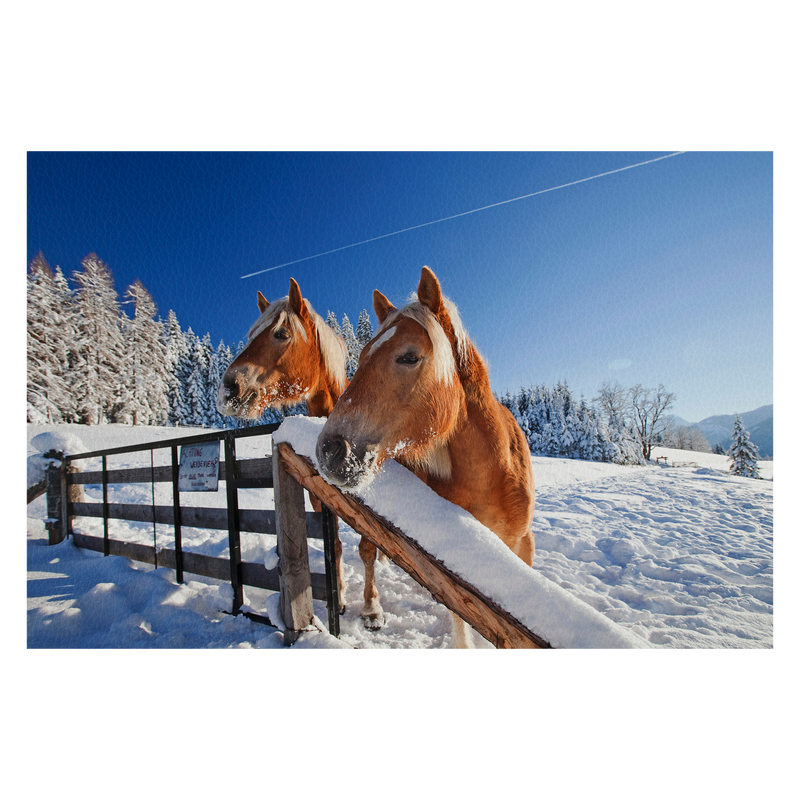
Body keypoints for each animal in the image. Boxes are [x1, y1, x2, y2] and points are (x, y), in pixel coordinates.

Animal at [316, 268, 536, 648]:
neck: (494, 476)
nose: (330, 449)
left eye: (409, 356)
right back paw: (368, 609)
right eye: (363, 356)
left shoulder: (522, 549)